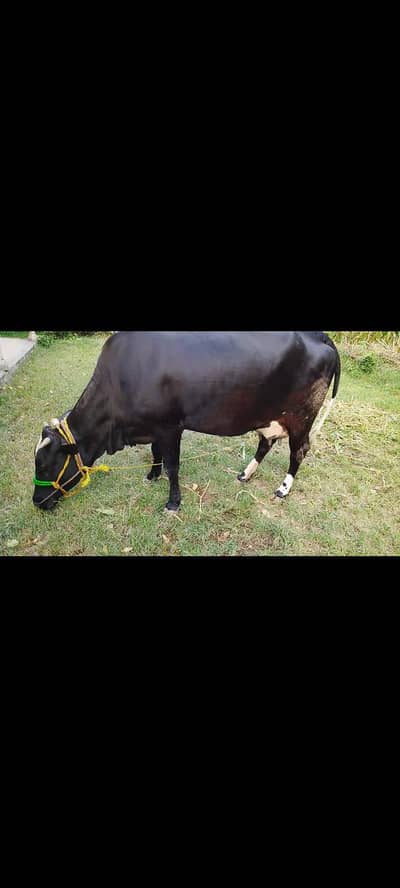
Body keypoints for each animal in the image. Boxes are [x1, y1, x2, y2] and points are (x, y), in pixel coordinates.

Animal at [33, 331, 341, 512]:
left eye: (46, 465)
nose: (37, 501)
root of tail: (319, 336)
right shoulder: (154, 426)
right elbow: (155, 453)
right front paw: (152, 476)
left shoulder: (170, 426)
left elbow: (173, 466)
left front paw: (173, 502)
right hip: (269, 416)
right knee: (266, 443)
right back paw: (245, 474)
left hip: (302, 417)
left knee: (299, 451)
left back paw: (283, 489)